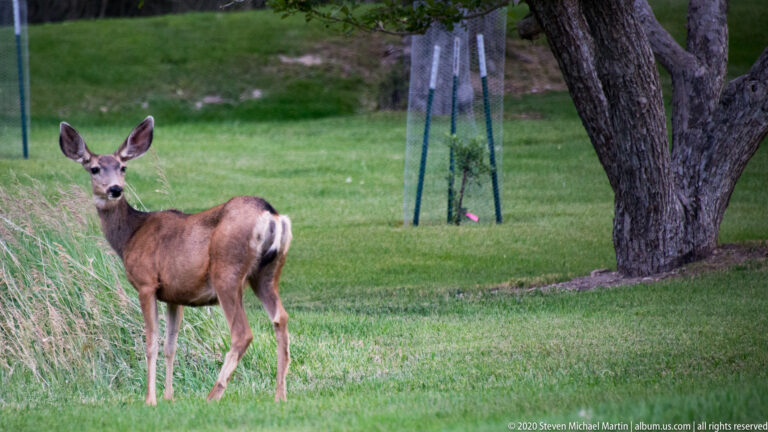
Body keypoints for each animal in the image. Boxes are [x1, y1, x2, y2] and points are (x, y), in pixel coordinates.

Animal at [59, 116, 292, 405]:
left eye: (123, 167)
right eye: (94, 168)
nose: (115, 189)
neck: (129, 235)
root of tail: (271, 214)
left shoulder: (146, 283)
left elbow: (151, 342)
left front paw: (150, 399)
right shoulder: (174, 293)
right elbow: (171, 345)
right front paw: (168, 397)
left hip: (227, 272)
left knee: (242, 332)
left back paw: (213, 395)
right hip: (267, 272)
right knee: (280, 318)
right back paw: (280, 395)